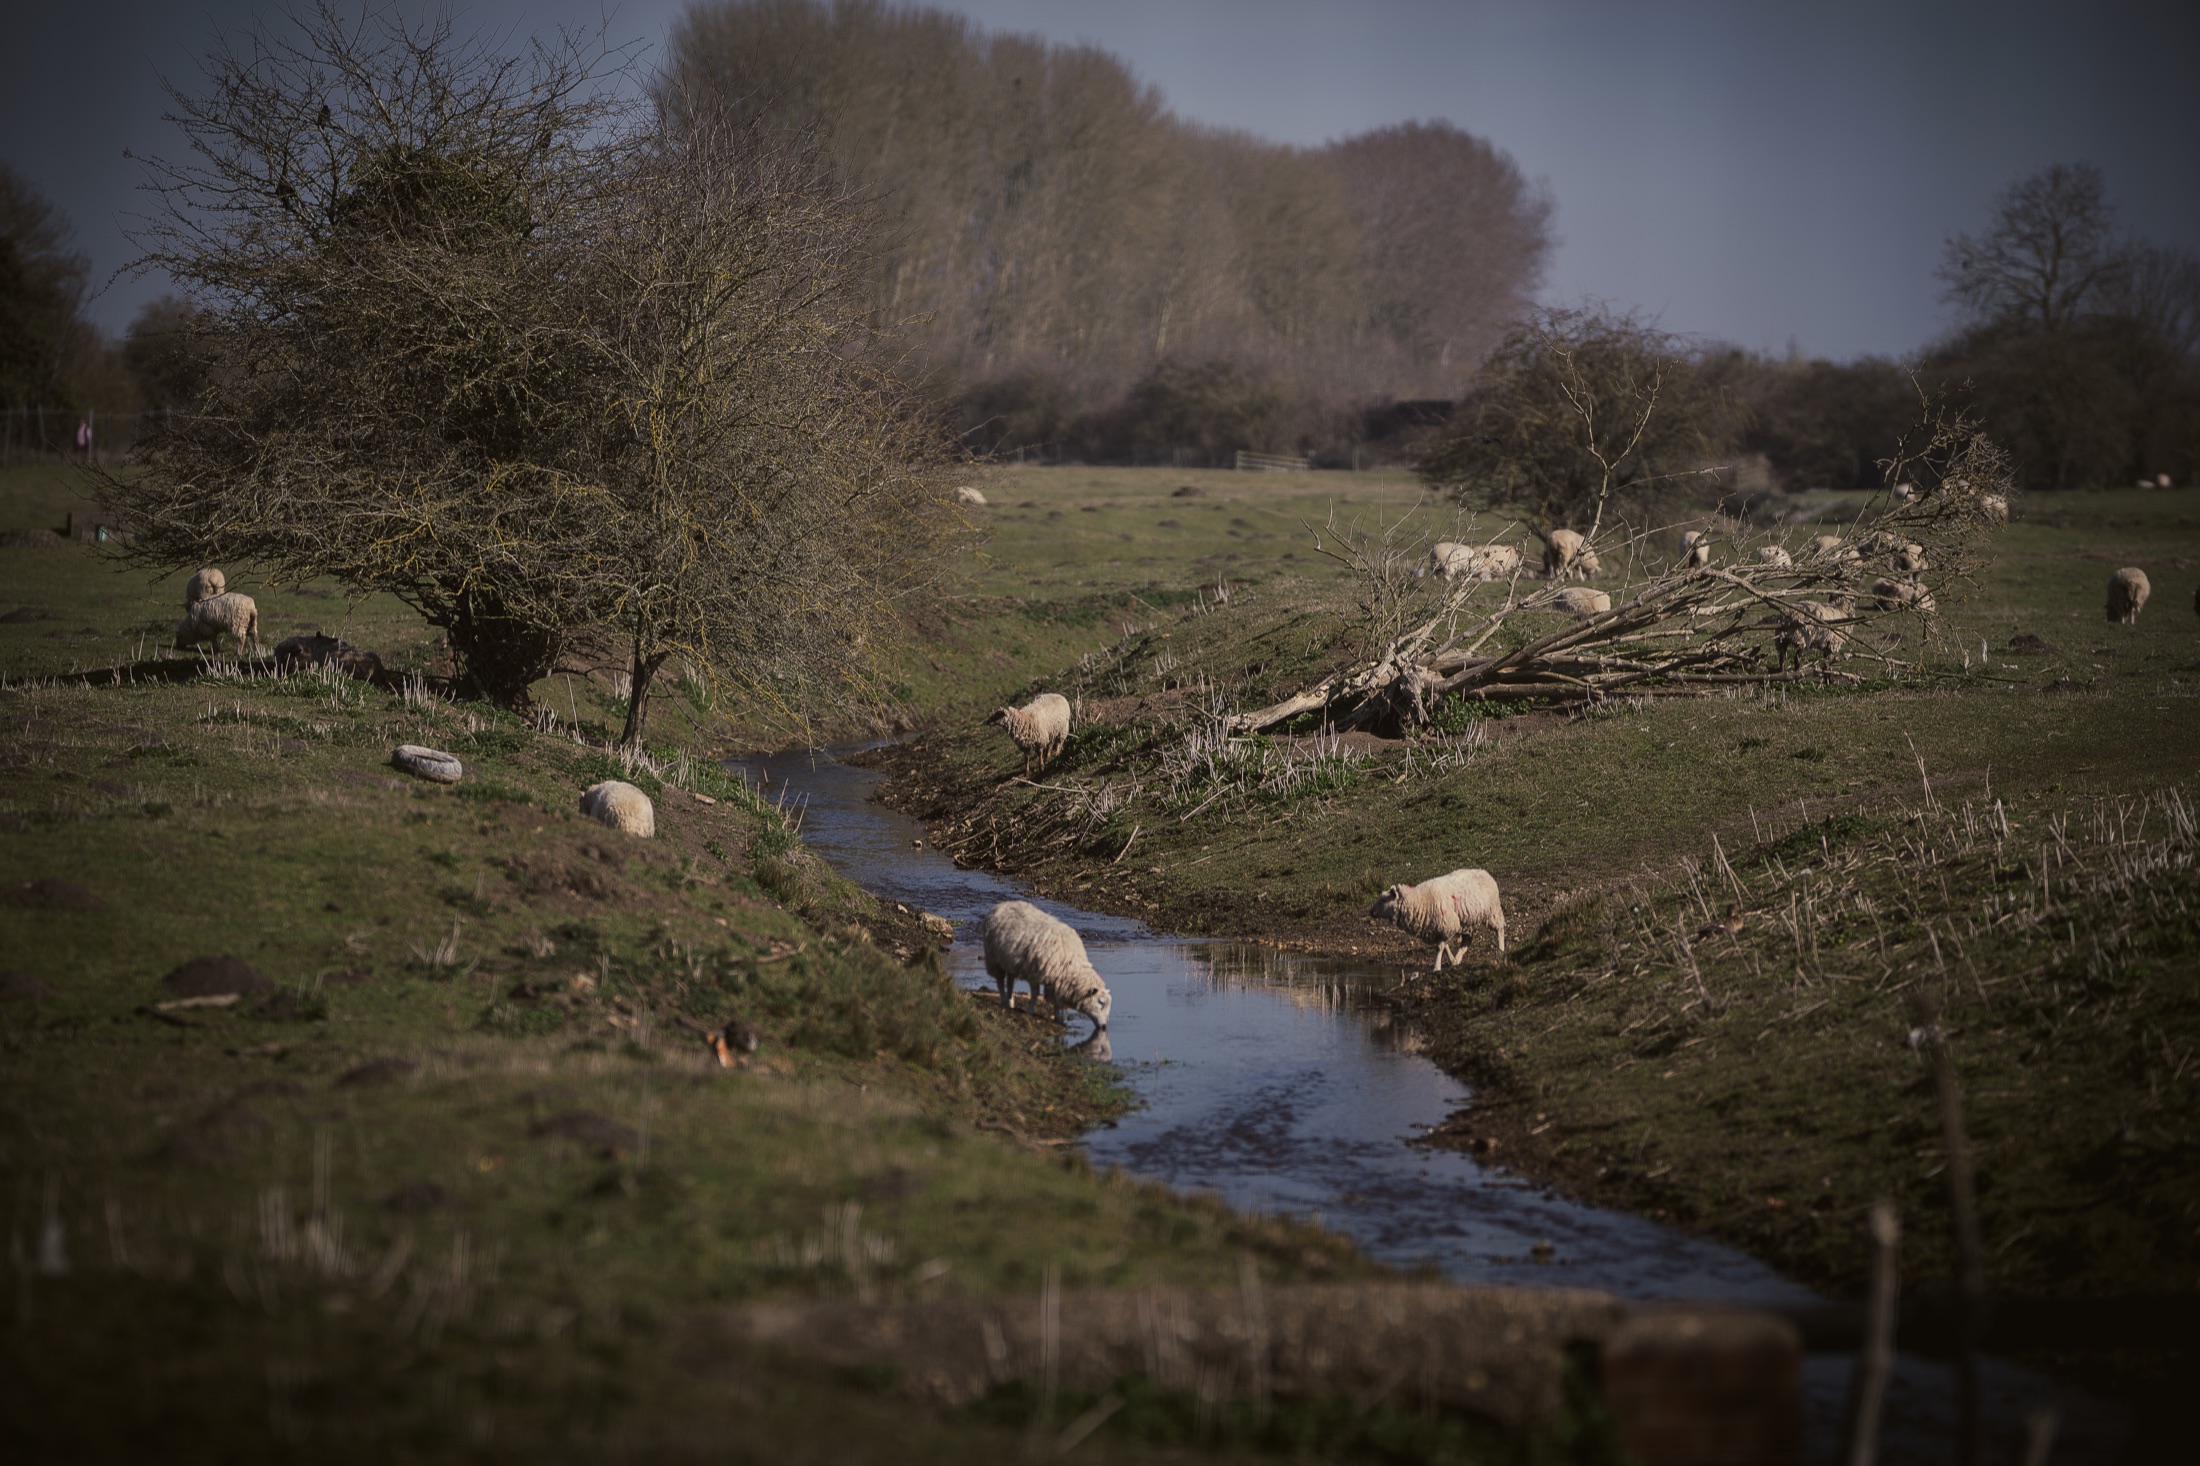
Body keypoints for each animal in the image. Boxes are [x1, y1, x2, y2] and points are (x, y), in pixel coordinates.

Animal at [982, 900, 1111, 1029]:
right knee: (999, 980)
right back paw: (1004, 1000)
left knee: (1010, 981)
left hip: (1009, 961)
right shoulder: (1034, 973)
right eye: (1101, 1002)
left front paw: (1058, 1018)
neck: (1070, 965)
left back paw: (1010, 1002)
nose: (1104, 1026)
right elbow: (1035, 994)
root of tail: (1002, 904)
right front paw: (1030, 1011)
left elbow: (1056, 1001)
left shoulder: (1056, 982)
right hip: (993, 957)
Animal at [1367, 869, 1505, 971]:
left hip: (1492, 912)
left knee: (1499, 928)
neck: (1419, 900)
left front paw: (1436, 967)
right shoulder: (1440, 928)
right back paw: (1458, 958)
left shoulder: (1448, 925)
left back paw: (1501, 950)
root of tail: (1484, 872)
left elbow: (1440, 947)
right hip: (1467, 921)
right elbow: (1444, 945)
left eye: (1384, 900)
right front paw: (1451, 960)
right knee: (1467, 940)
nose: (1371, 912)